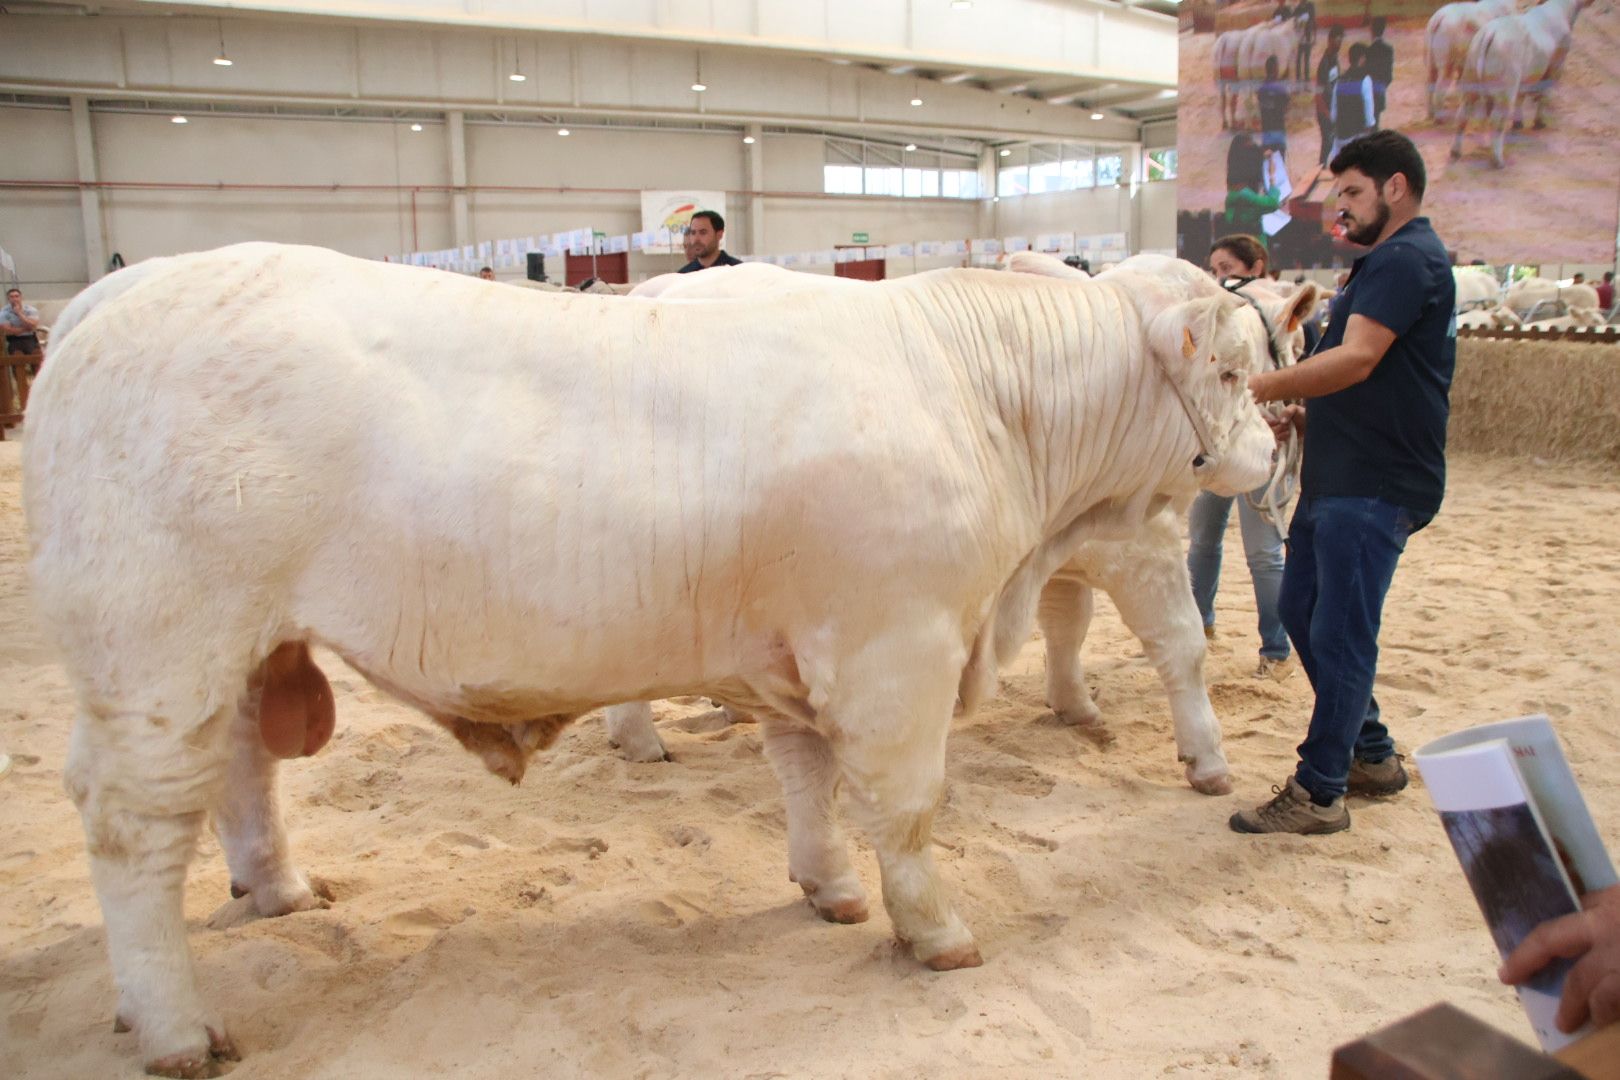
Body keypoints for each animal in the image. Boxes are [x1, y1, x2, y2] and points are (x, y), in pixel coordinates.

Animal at [31, 242, 1283, 1075]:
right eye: (1230, 370)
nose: (1274, 452)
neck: (979, 396)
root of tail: (127, 288)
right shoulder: (896, 647)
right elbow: (909, 806)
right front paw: (935, 932)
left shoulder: (798, 649)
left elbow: (805, 776)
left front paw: (828, 886)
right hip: (161, 652)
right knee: (135, 830)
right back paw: (176, 1025)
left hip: (237, 650)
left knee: (241, 768)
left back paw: (277, 889)